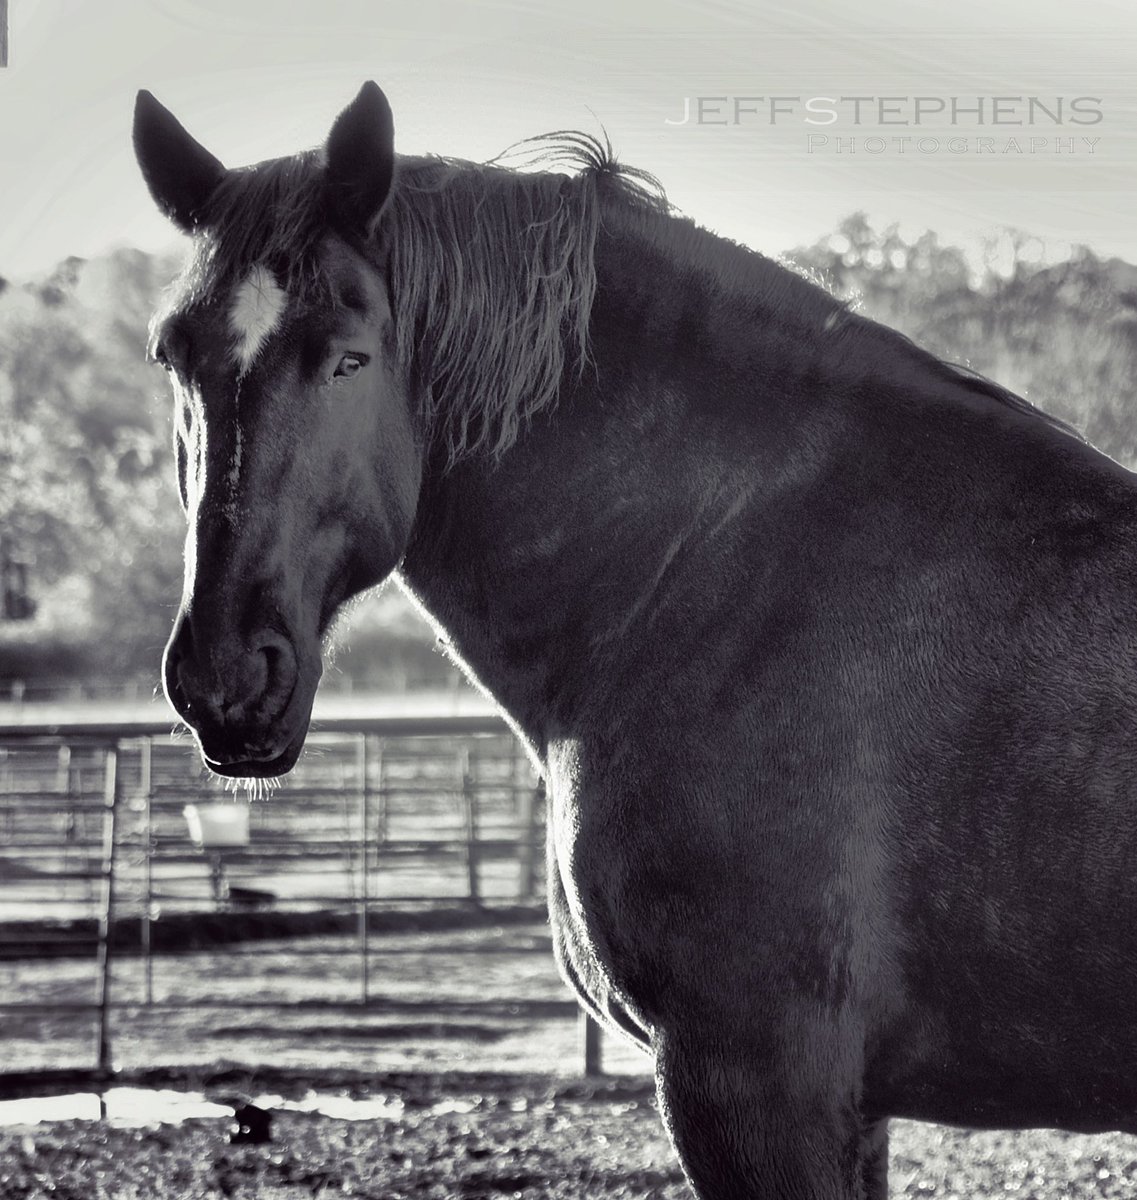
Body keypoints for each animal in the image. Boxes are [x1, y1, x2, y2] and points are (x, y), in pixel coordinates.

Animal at [133, 81, 1137, 1199]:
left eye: (349, 356)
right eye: (173, 354)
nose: (224, 675)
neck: (721, 564)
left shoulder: (752, 1080)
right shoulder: (846, 1106)